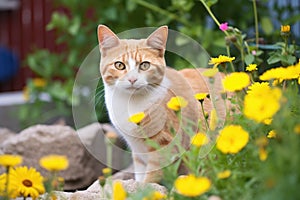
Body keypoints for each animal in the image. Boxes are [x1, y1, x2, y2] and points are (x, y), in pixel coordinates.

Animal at [96, 25, 225, 183]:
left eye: (144, 65)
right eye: (119, 65)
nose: (132, 79)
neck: (130, 103)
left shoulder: (165, 145)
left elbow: (151, 179)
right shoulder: (138, 152)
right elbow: (140, 175)